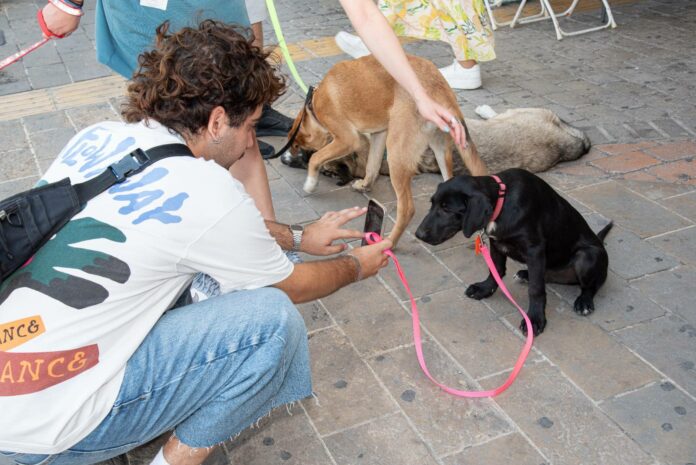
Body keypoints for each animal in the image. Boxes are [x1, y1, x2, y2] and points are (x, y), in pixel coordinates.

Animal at [290, 54, 486, 246]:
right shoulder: (379, 134)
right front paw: (365, 185)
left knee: (407, 209)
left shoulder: (348, 139)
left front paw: (310, 182)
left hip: (396, 154)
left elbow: (316, 157)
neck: (314, 106)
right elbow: (372, 165)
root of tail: (438, 87)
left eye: (301, 149)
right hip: (439, 148)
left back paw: (389, 242)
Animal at [416, 169, 612, 336]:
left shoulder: (535, 250)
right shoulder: (496, 243)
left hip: (587, 257)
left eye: (446, 209)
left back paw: (584, 302)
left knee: (592, 285)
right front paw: (484, 289)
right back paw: (526, 274)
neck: (502, 201)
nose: (418, 234)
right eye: (431, 204)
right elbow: (495, 270)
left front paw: (534, 319)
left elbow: (536, 289)